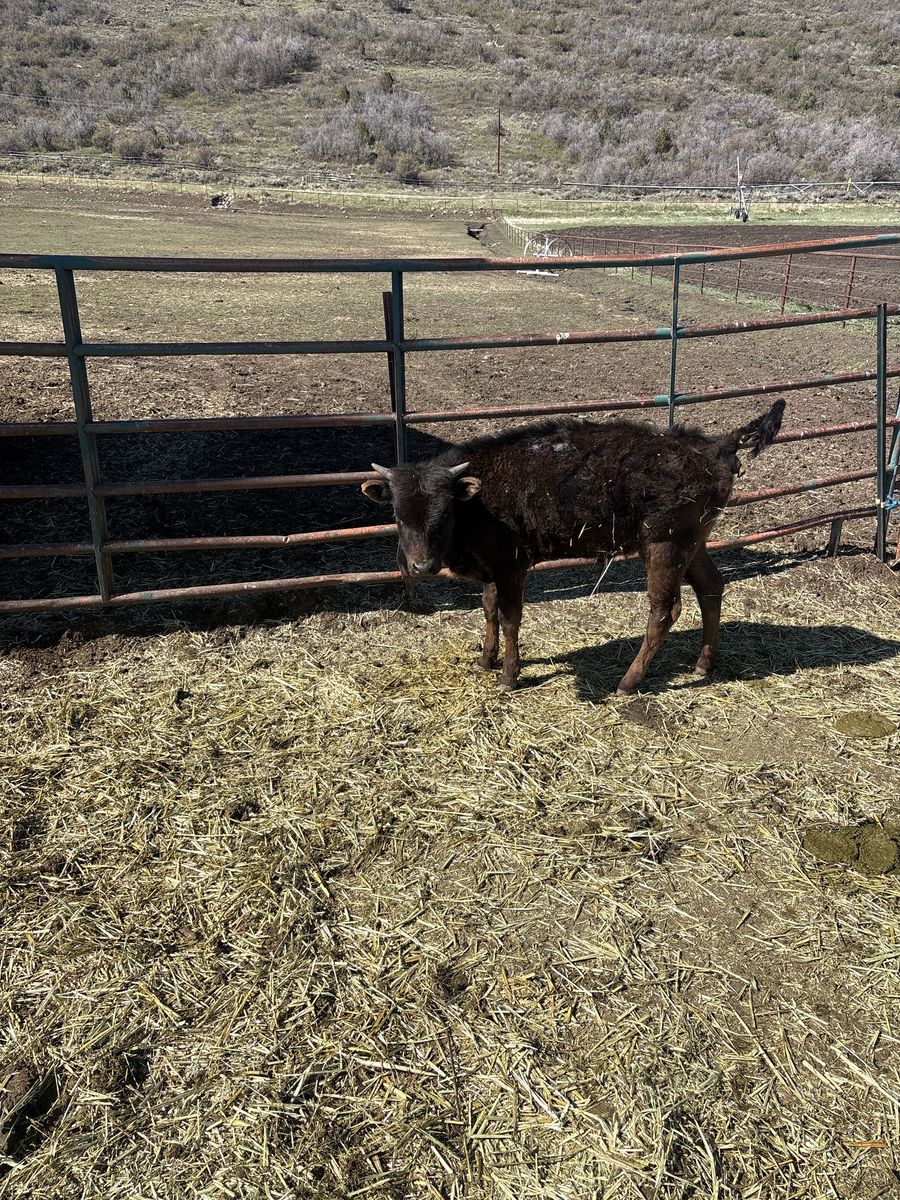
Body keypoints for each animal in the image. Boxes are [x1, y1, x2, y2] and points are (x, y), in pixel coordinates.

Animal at [361, 401, 785, 694]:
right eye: (398, 514)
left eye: (444, 511)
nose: (421, 567)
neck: (479, 498)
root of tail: (714, 446)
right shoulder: (492, 568)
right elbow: (488, 610)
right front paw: (485, 659)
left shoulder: (512, 567)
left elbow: (510, 617)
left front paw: (509, 675)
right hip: (693, 543)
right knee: (711, 587)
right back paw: (703, 664)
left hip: (664, 545)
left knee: (665, 609)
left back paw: (628, 682)